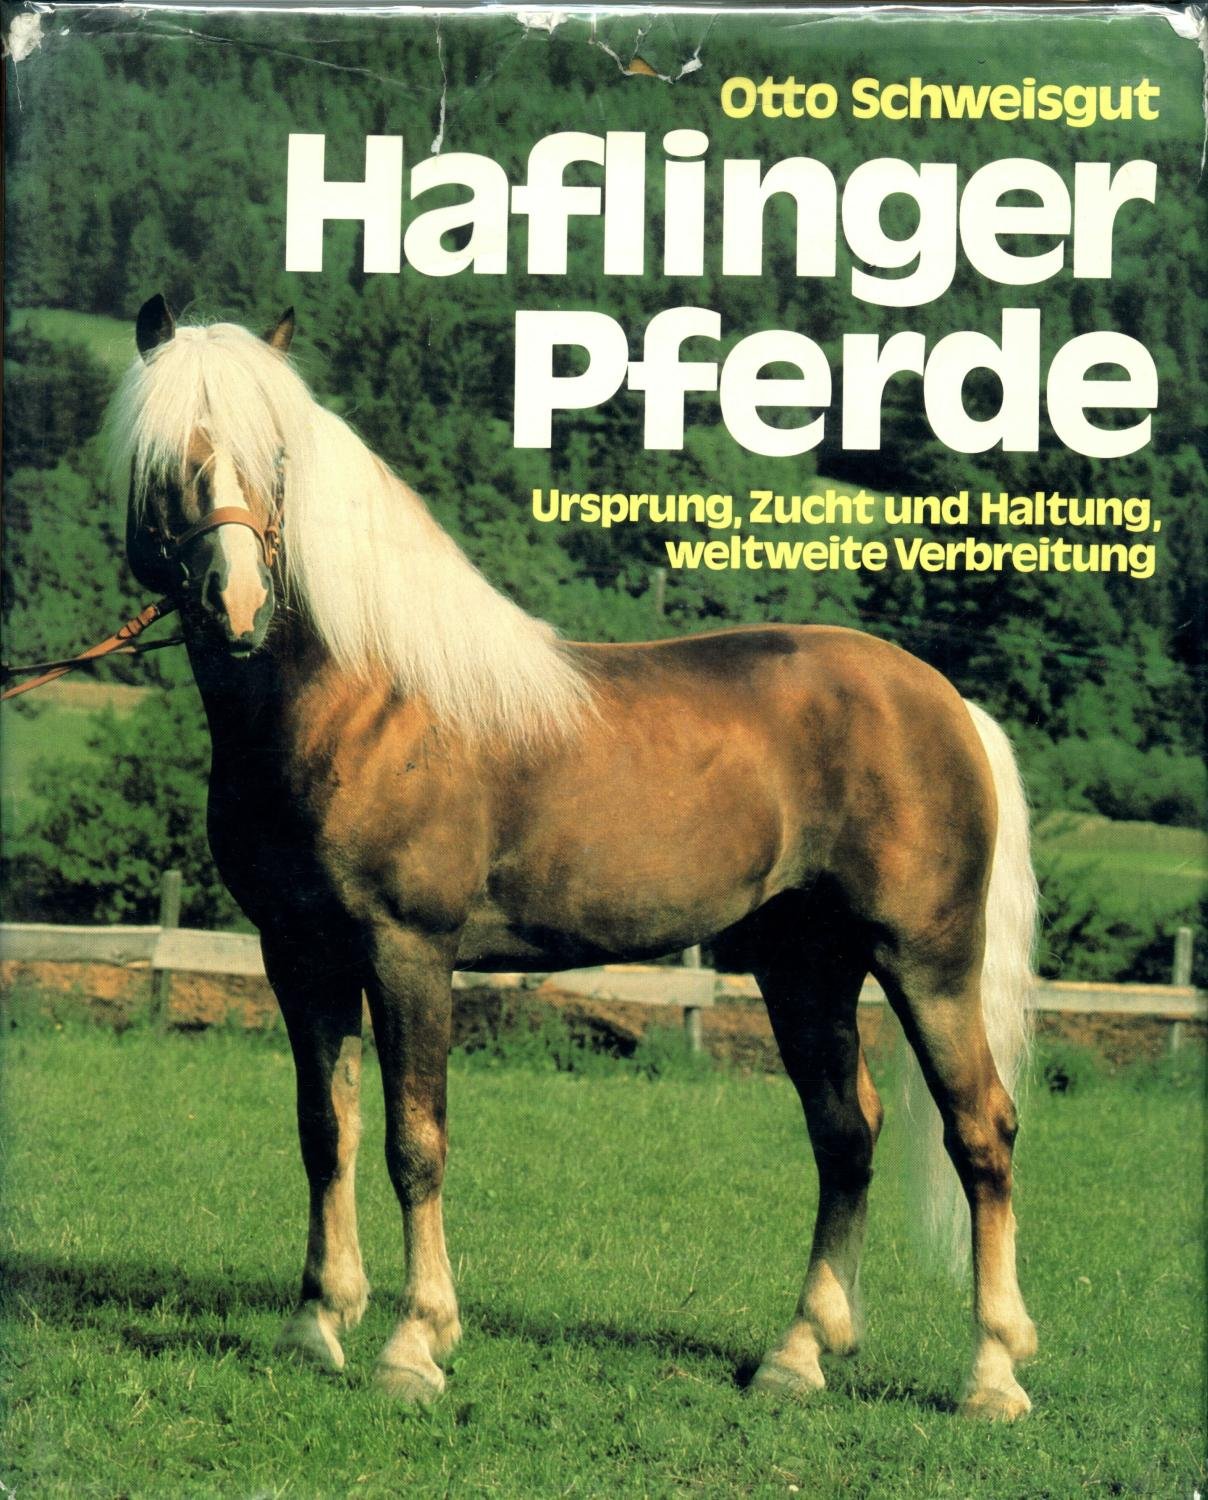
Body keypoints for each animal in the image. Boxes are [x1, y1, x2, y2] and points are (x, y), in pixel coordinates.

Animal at [111, 293, 1038, 1419]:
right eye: (166, 454)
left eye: (275, 456)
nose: (238, 605)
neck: (364, 700)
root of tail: (944, 702)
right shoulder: (298, 955)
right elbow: (324, 1130)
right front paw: (316, 1324)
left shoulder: (406, 952)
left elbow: (414, 1141)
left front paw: (415, 1345)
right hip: (802, 967)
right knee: (844, 1134)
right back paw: (798, 1356)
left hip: (925, 961)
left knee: (979, 1132)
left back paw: (990, 1374)